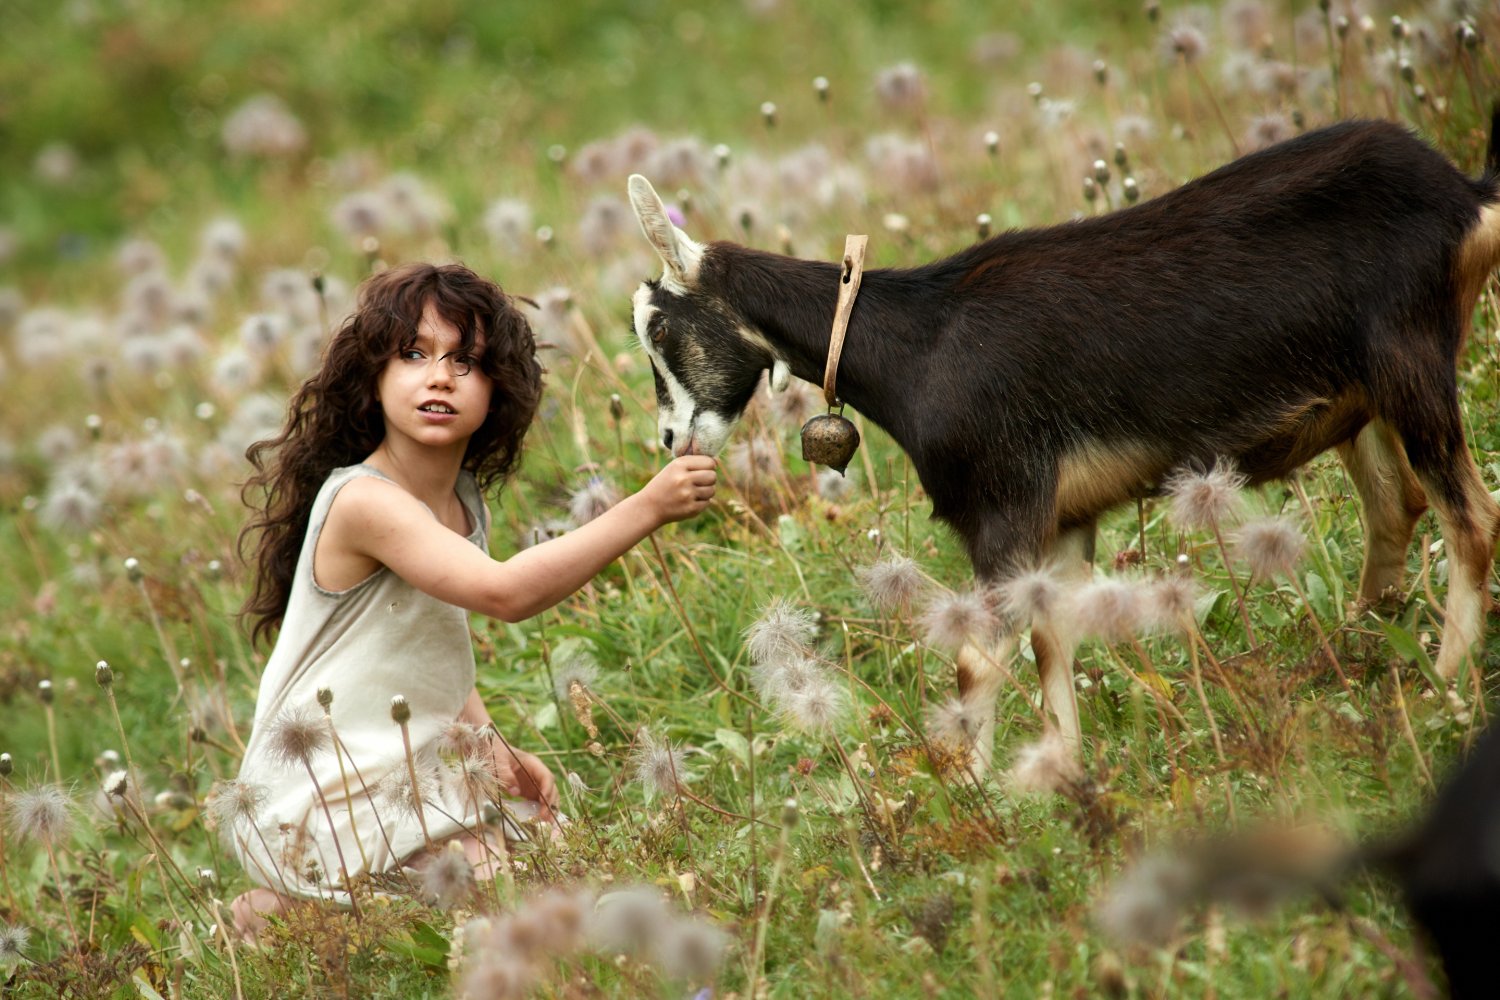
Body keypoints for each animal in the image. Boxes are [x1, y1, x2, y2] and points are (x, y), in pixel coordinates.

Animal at [624, 119, 1500, 773]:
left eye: (659, 327)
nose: (669, 438)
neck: (919, 344)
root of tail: (1462, 195)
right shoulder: (1064, 518)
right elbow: (1054, 645)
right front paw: (1061, 778)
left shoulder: (1003, 505)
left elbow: (977, 660)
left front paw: (975, 798)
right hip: (1365, 401)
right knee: (1397, 508)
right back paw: (1359, 661)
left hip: (1411, 366)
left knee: (1471, 519)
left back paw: (1442, 690)